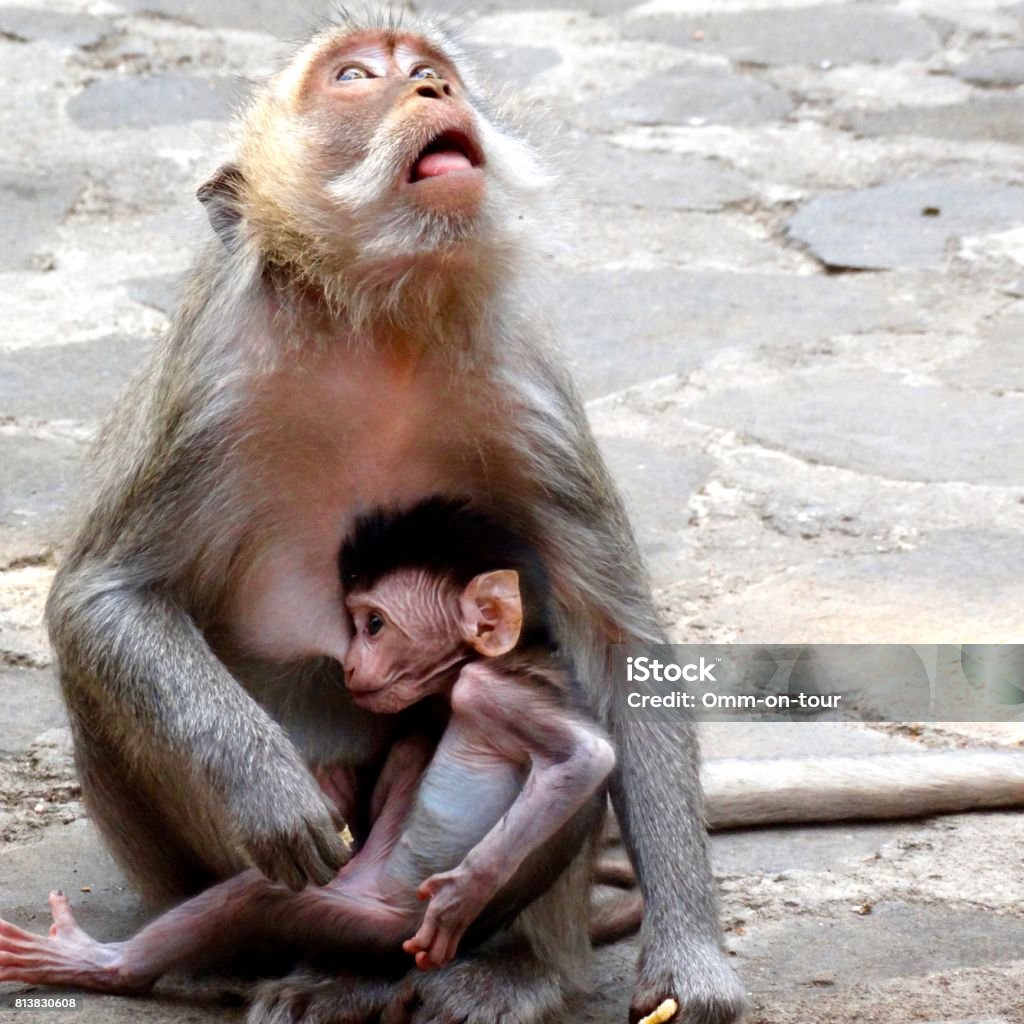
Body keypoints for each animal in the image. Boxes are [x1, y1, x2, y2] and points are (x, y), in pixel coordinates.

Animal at [0, 499, 621, 993]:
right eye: (356, 623)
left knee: (262, 906)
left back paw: (108, 965)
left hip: (366, 928)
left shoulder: (487, 689)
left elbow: (586, 758)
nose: (348, 664)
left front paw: (462, 893)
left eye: (374, 625)